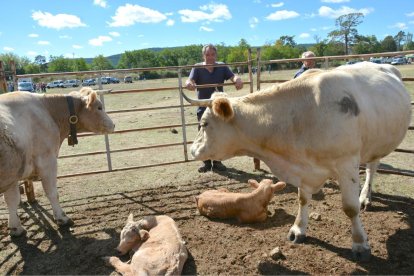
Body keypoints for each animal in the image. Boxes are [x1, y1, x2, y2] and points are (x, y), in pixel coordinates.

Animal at [0, 87, 115, 236]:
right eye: (99, 107)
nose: (113, 124)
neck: (48, 110)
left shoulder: (14, 172)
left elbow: (12, 200)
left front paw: (16, 228)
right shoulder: (47, 161)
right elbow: (52, 193)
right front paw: (62, 218)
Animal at [183, 61, 412, 260]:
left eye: (204, 123)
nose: (192, 150)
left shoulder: (346, 164)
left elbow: (350, 208)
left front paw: (360, 244)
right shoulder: (303, 168)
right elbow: (302, 199)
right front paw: (298, 230)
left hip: (377, 144)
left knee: (372, 169)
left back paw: (365, 197)